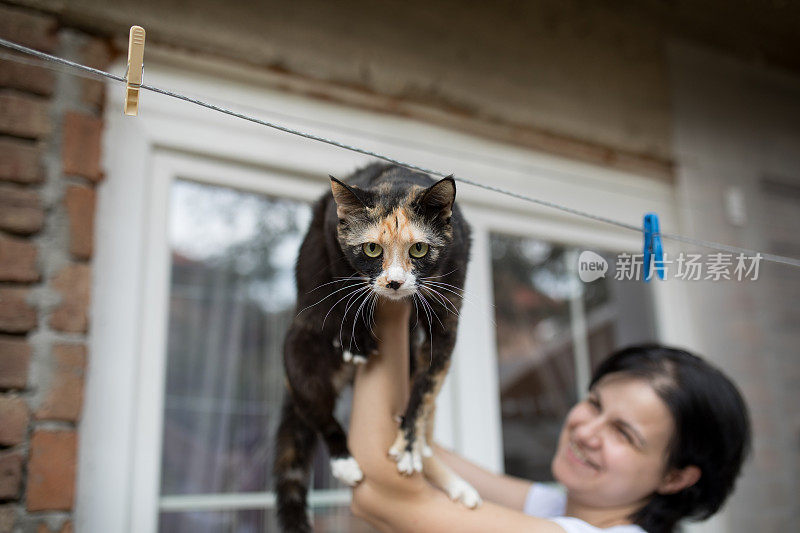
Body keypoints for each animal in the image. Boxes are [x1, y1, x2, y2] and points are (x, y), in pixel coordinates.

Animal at [272, 163, 478, 532]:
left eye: (419, 249)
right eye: (371, 249)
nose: (394, 282)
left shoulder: (448, 312)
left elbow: (425, 389)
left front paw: (409, 445)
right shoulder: (330, 224)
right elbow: (343, 279)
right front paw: (356, 336)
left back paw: (454, 482)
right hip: (298, 351)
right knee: (320, 415)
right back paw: (345, 462)